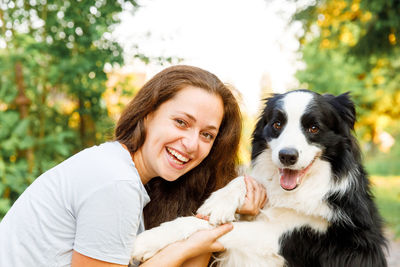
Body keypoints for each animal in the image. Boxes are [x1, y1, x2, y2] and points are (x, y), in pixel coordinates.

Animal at [131, 90, 388, 267]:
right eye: (277, 124)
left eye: (314, 128)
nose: (287, 156)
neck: (300, 191)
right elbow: (243, 181)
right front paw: (220, 201)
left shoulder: (285, 240)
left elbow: (199, 225)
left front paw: (145, 241)